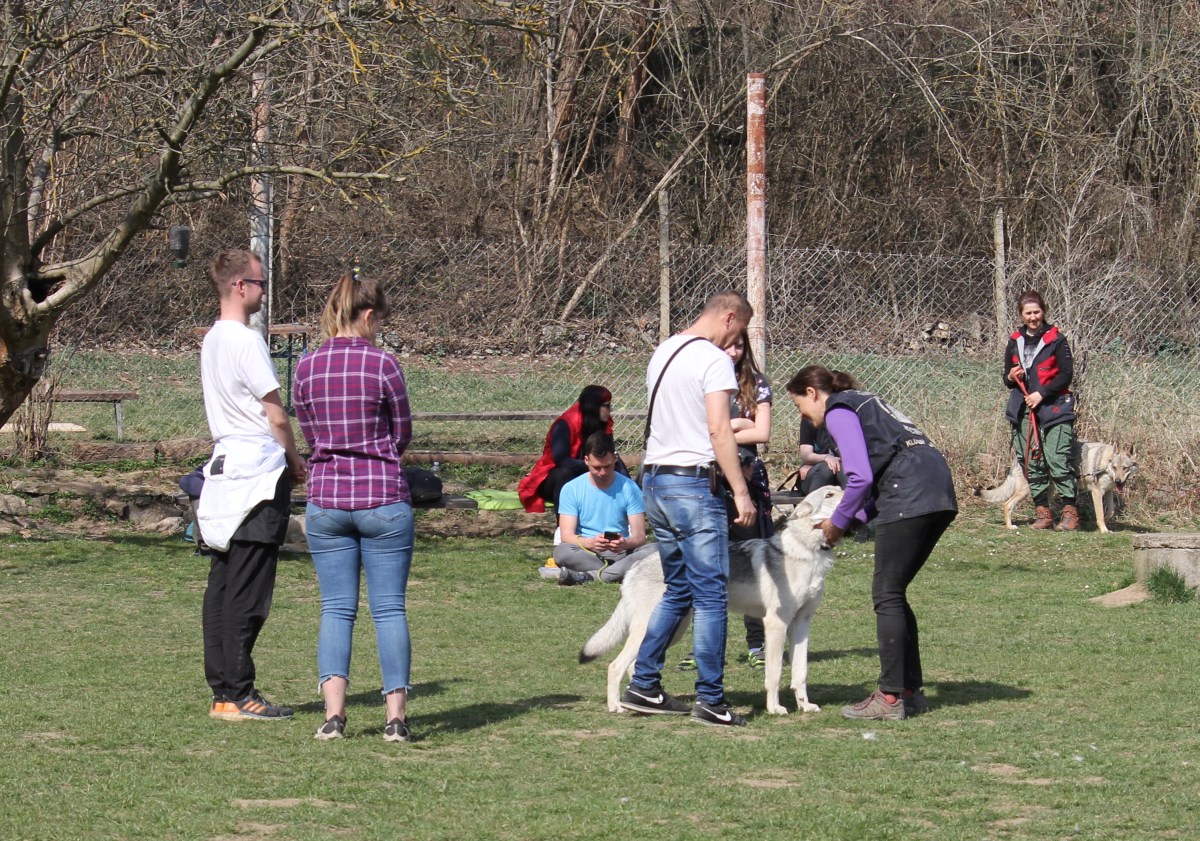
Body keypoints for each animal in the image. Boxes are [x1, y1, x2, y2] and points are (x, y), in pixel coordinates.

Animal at [578, 484, 844, 715]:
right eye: (830, 494)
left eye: (841, 489)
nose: (852, 492)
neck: (808, 552)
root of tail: (634, 566)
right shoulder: (776, 624)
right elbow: (775, 674)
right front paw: (775, 709)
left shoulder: (801, 624)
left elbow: (801, 673)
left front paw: (805, 706)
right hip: (653, 629)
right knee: (615, 666)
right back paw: (617, 706)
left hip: (671, 630)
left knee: (636, 664)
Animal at [974, 439, 1132, 530]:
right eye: (1115, 467)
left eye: (1125, 468)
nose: (1119, 481)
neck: (1105, 462)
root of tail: (1018, 457)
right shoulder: (1097, 492)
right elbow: (1100, 514)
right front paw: (1104, 530)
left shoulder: (1109, 491)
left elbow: (1110, 511)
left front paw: (1105, 523)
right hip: (1025, 491)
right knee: (1007, 505)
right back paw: (1010, 526)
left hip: (1049, 490)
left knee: (1047, 509)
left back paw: (1055, 526)